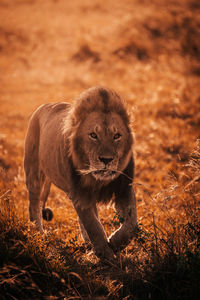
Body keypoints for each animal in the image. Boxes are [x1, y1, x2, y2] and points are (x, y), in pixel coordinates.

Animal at [23, 86, 136, 260]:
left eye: (117, 136)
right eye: (93, 135)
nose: (106, 160)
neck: (98, 180)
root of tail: (44, 106)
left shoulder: (124, 189)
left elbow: (131, 224)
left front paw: (114, 243)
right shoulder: (80, 195)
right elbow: (94, 227)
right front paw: (106, 254)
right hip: (33, 172)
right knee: (34, 205)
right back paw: (39, 236)